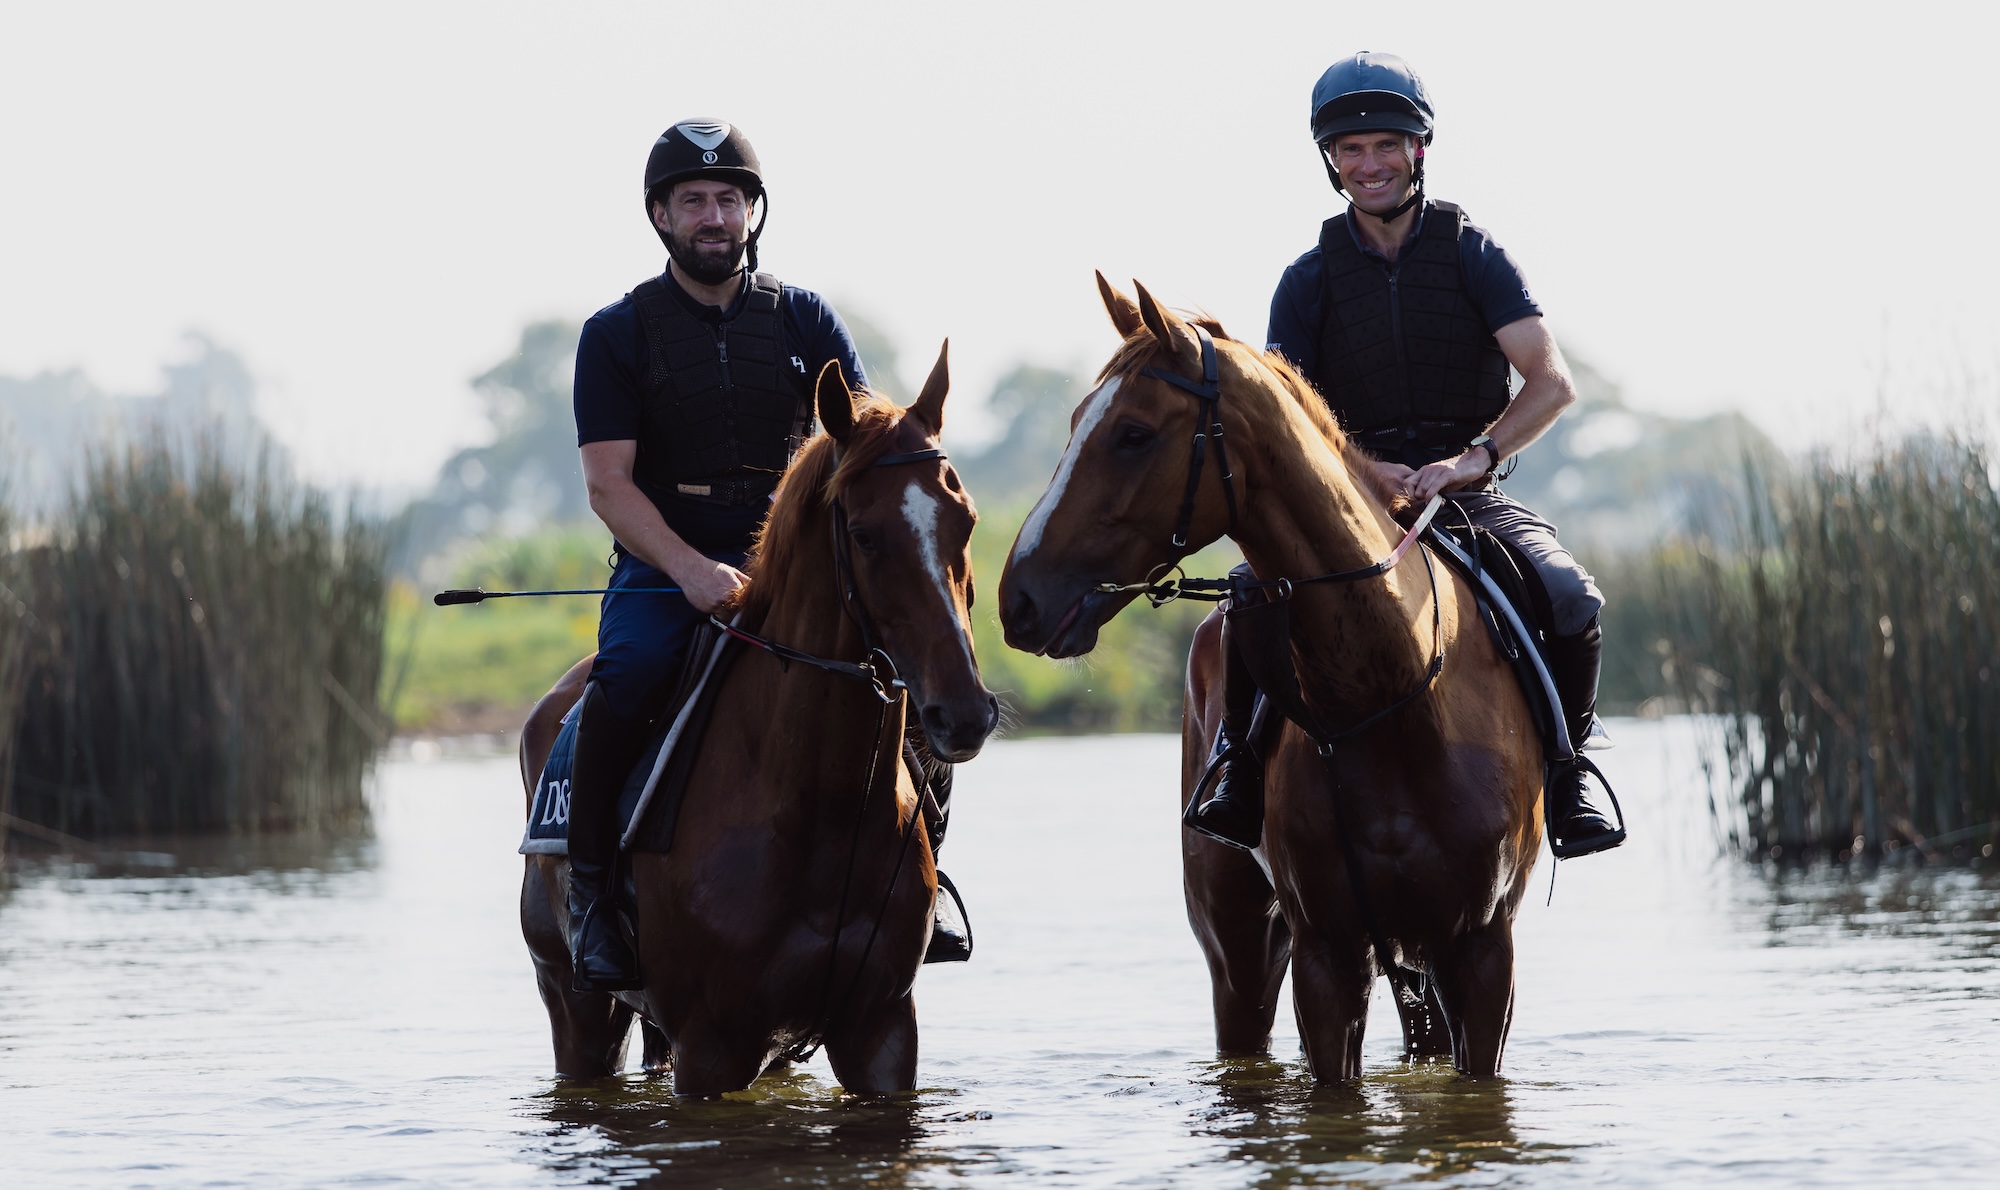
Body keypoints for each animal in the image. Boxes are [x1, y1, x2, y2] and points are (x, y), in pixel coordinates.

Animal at [519, 345, 999, 1095]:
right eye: (864, 535)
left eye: (966, 521)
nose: (965, 713)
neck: (815, 808)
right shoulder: (709, 1048)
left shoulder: (882, 1031)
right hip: (576, 1008)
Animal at [997, 276, 1543, 1080]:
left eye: (1133, 433)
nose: (1018, 600)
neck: (1391, 692)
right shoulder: (1328, 955)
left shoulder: (1479, 951)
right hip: (1240, 948)